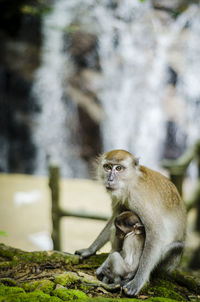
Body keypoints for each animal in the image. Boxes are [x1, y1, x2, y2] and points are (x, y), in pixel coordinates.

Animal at [75, 150, 186, 296]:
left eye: (119, 168)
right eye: (108, 167)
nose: (110, 179)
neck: (132, 181)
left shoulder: (139, 198)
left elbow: (156, 233)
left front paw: (138, 281)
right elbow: (115, 218)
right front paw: (89, 250)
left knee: (176, 246)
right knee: (114, 228)